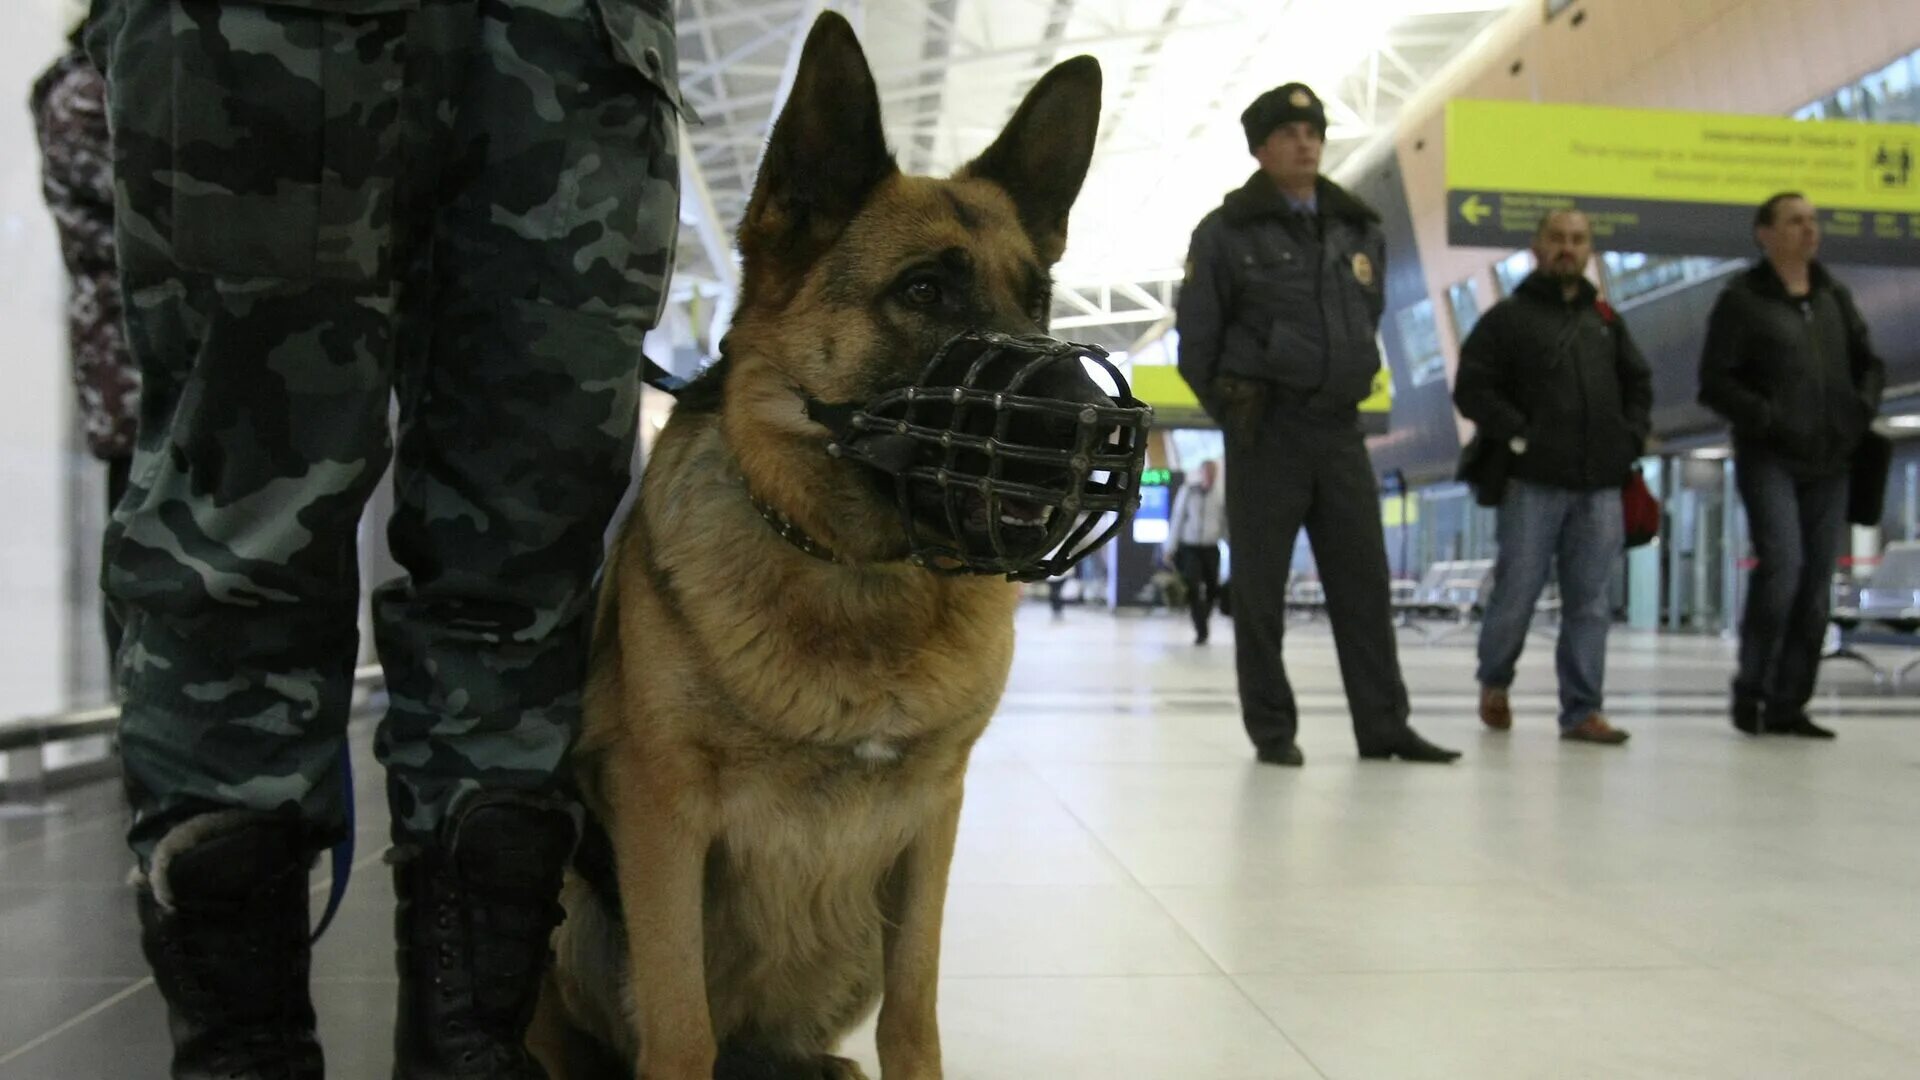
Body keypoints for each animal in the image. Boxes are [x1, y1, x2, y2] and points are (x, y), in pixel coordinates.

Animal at [529, 14, 1136, 1076]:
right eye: (924, 290)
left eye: (1040, 303)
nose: (1102, 429)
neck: (860, 574)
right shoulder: (660, 818)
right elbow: (679, 1029)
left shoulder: (931, 819)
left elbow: (914, 1012)